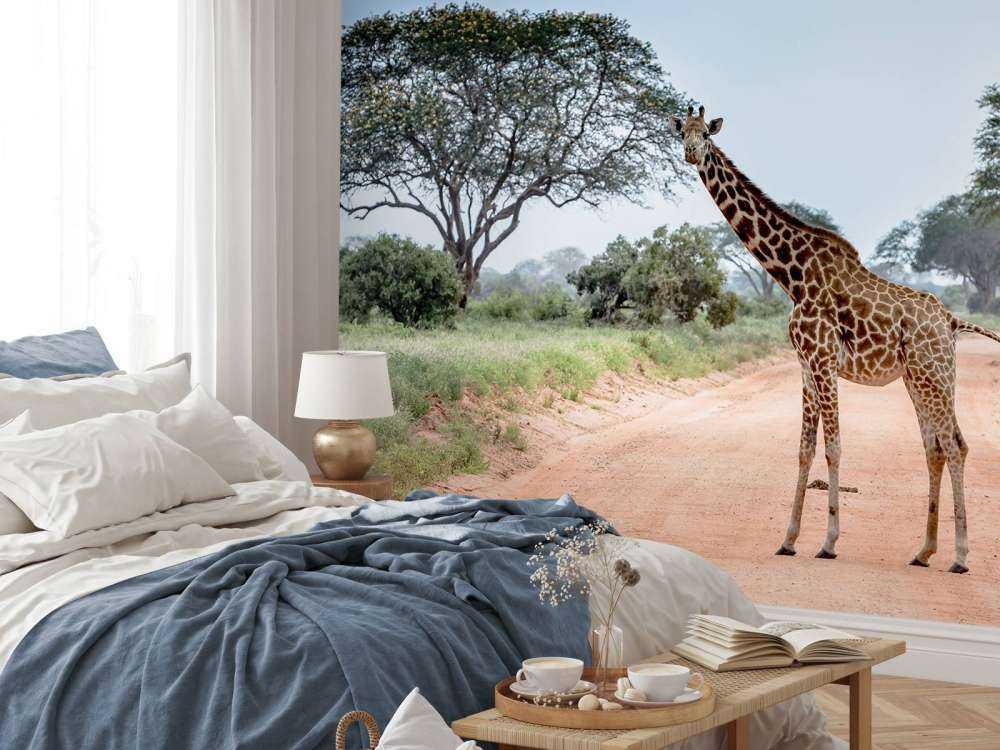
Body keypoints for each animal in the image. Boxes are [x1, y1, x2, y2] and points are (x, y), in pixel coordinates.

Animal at [671, 105, 1000, 574]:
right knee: (934, 447)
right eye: (681, 131)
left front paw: (828, 542)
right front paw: (788, 540)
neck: (791, 275)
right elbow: (805, 450)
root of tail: (952, 321)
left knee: (956, 445)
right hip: (920, 379)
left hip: (932, 375)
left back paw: (959, 556)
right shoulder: (805, 365)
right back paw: (923, 551)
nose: (691, 154)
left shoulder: (824, 360)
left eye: (707, 136)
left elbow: (834, 448)